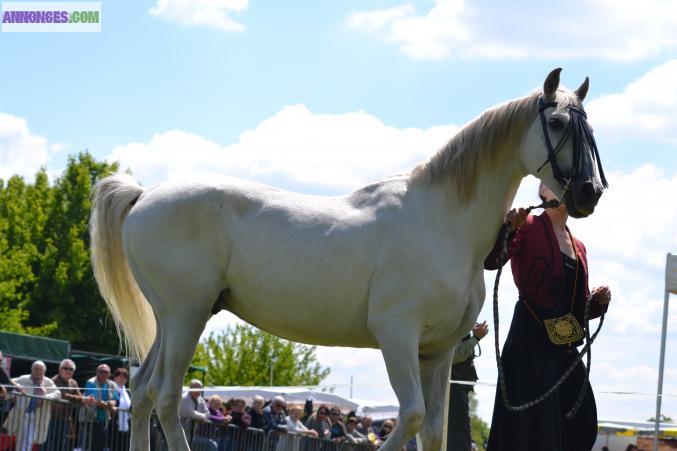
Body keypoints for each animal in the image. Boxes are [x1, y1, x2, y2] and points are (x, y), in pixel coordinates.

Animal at [89, 68, 606, 451]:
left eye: (590, 128)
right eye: (557, 124)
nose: (589, 192)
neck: (442, 221)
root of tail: (144, 194)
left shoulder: (437, 352)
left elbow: (433, 431)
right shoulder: (397, 337)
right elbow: (411, 418)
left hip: (172, 319)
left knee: (140, 392)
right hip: (187, 316)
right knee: (167, 397)